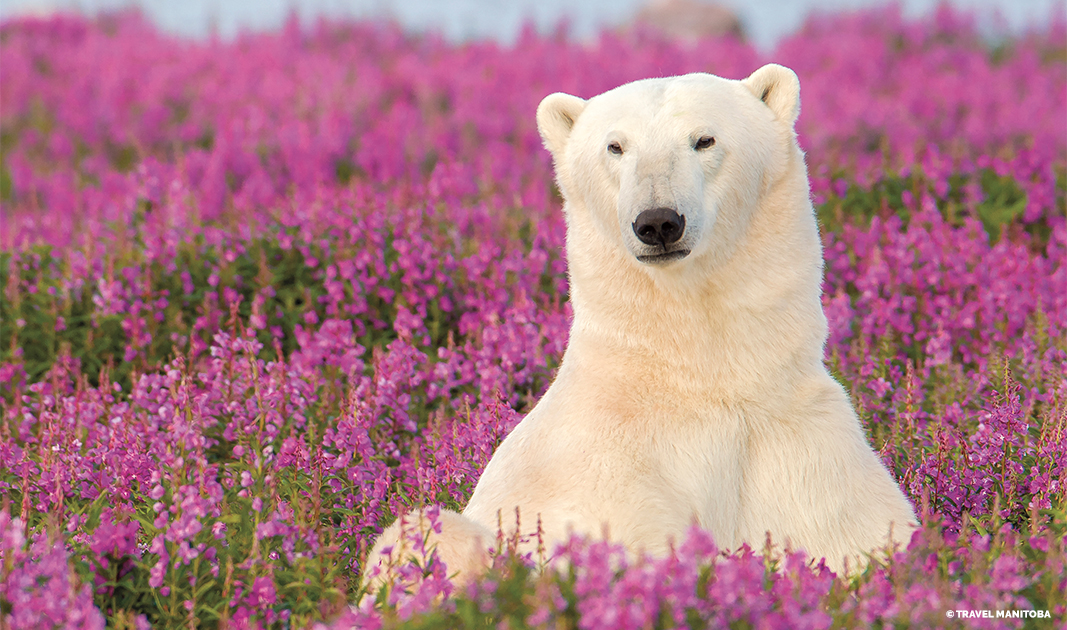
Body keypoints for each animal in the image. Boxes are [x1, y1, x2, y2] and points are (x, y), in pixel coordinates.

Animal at [364, 64, 917, 591]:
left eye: (704, 139)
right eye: (615, 146)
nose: (657, 222)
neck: (696, 377)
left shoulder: (802, 450)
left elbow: (865, 539)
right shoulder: (602, 480)